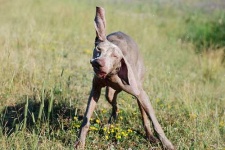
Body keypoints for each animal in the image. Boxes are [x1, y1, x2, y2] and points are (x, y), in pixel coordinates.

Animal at [74, 6, 175, 149]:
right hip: (110, 94)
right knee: (115, 103)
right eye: (98, 49)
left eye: (115, 56)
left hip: (139, 91)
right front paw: (80, 142)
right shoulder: (95, 89)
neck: (111, 75)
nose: (98, 63)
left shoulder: (141, 94)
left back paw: (150, 136)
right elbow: (86, 119)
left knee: (144, 116)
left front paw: (166, 143)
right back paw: (110, 123)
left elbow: (155, 122)